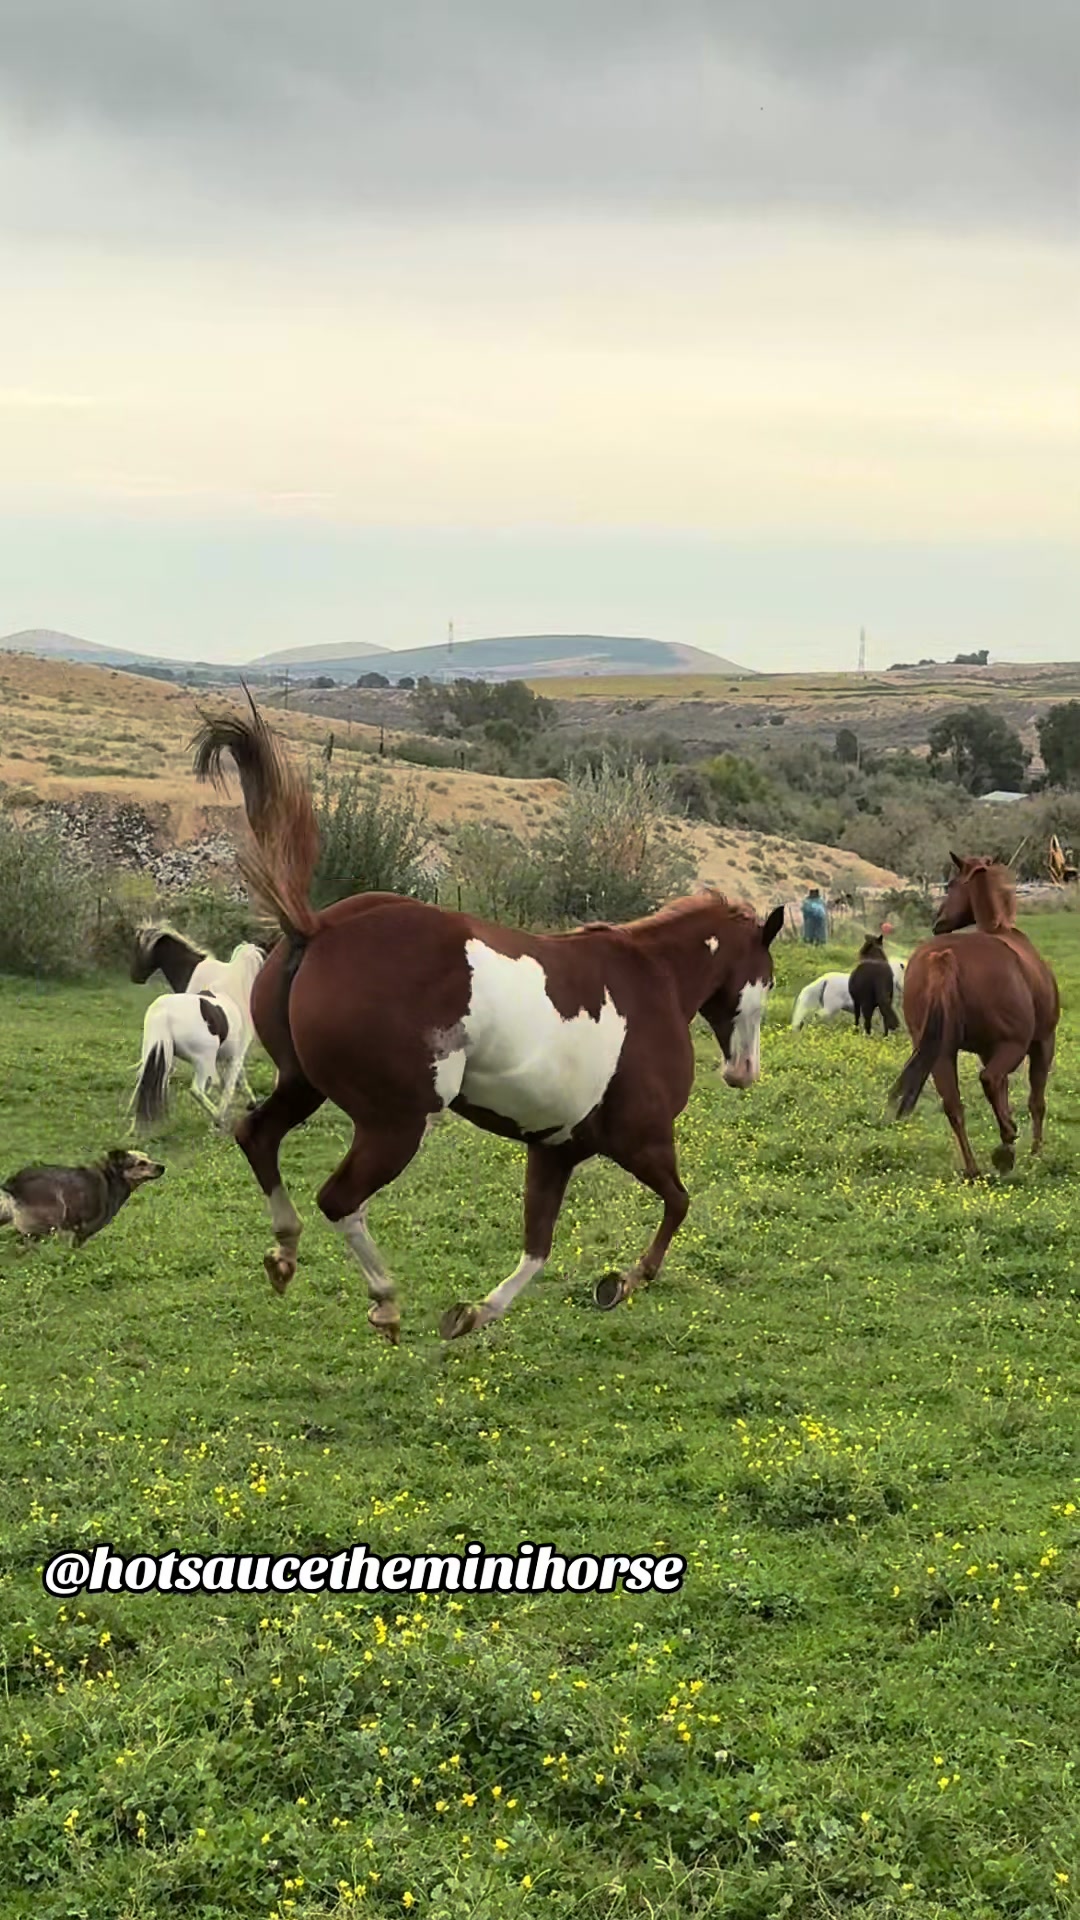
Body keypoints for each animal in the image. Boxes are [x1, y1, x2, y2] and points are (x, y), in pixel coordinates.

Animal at [191, 698, 785, 1345]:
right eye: (770, 979)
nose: (744, 1071)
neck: (656, 980)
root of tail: (320, 928)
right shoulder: (642, 1139)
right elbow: (678, 1203)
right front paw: (626, 1281)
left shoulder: (555, 1147)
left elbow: (537, 1247)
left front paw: (475, 1313)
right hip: (395, 1123)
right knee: (338, 1199)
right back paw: (384, 1299)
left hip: (302, 1084)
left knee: (257, 1136)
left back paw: (284, 1254)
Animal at [890, 852, 1059, 1178]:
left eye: (952, 884)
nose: (938, 922)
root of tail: (944, 957)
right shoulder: (1043, 1042)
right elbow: (1036, 1101)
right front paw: (1034, 1152)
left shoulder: (985, 1050)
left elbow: (1004, 1095)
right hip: (1013, 1045)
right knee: (990, 1080)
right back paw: (1005, 1146)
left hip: (941, 1054)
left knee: (954, 1105)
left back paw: (974, 1167)